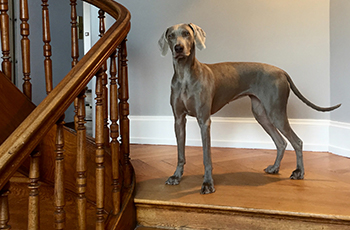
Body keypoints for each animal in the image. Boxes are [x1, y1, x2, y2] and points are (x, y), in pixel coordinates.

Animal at [158, 22, 340, 194]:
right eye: (171, 36)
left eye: (186, 34)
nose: (178, 48)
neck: (185, 76)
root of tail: (282, 71)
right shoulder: (179, 120)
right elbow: (180, 153)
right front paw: (176, 176)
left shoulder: (204, 121)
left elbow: (206, 157)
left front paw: (208, 184)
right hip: (261, 114)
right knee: (281, 142)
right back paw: (275, 168)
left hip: (276, 112)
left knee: (297, 141)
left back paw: (299, 172)